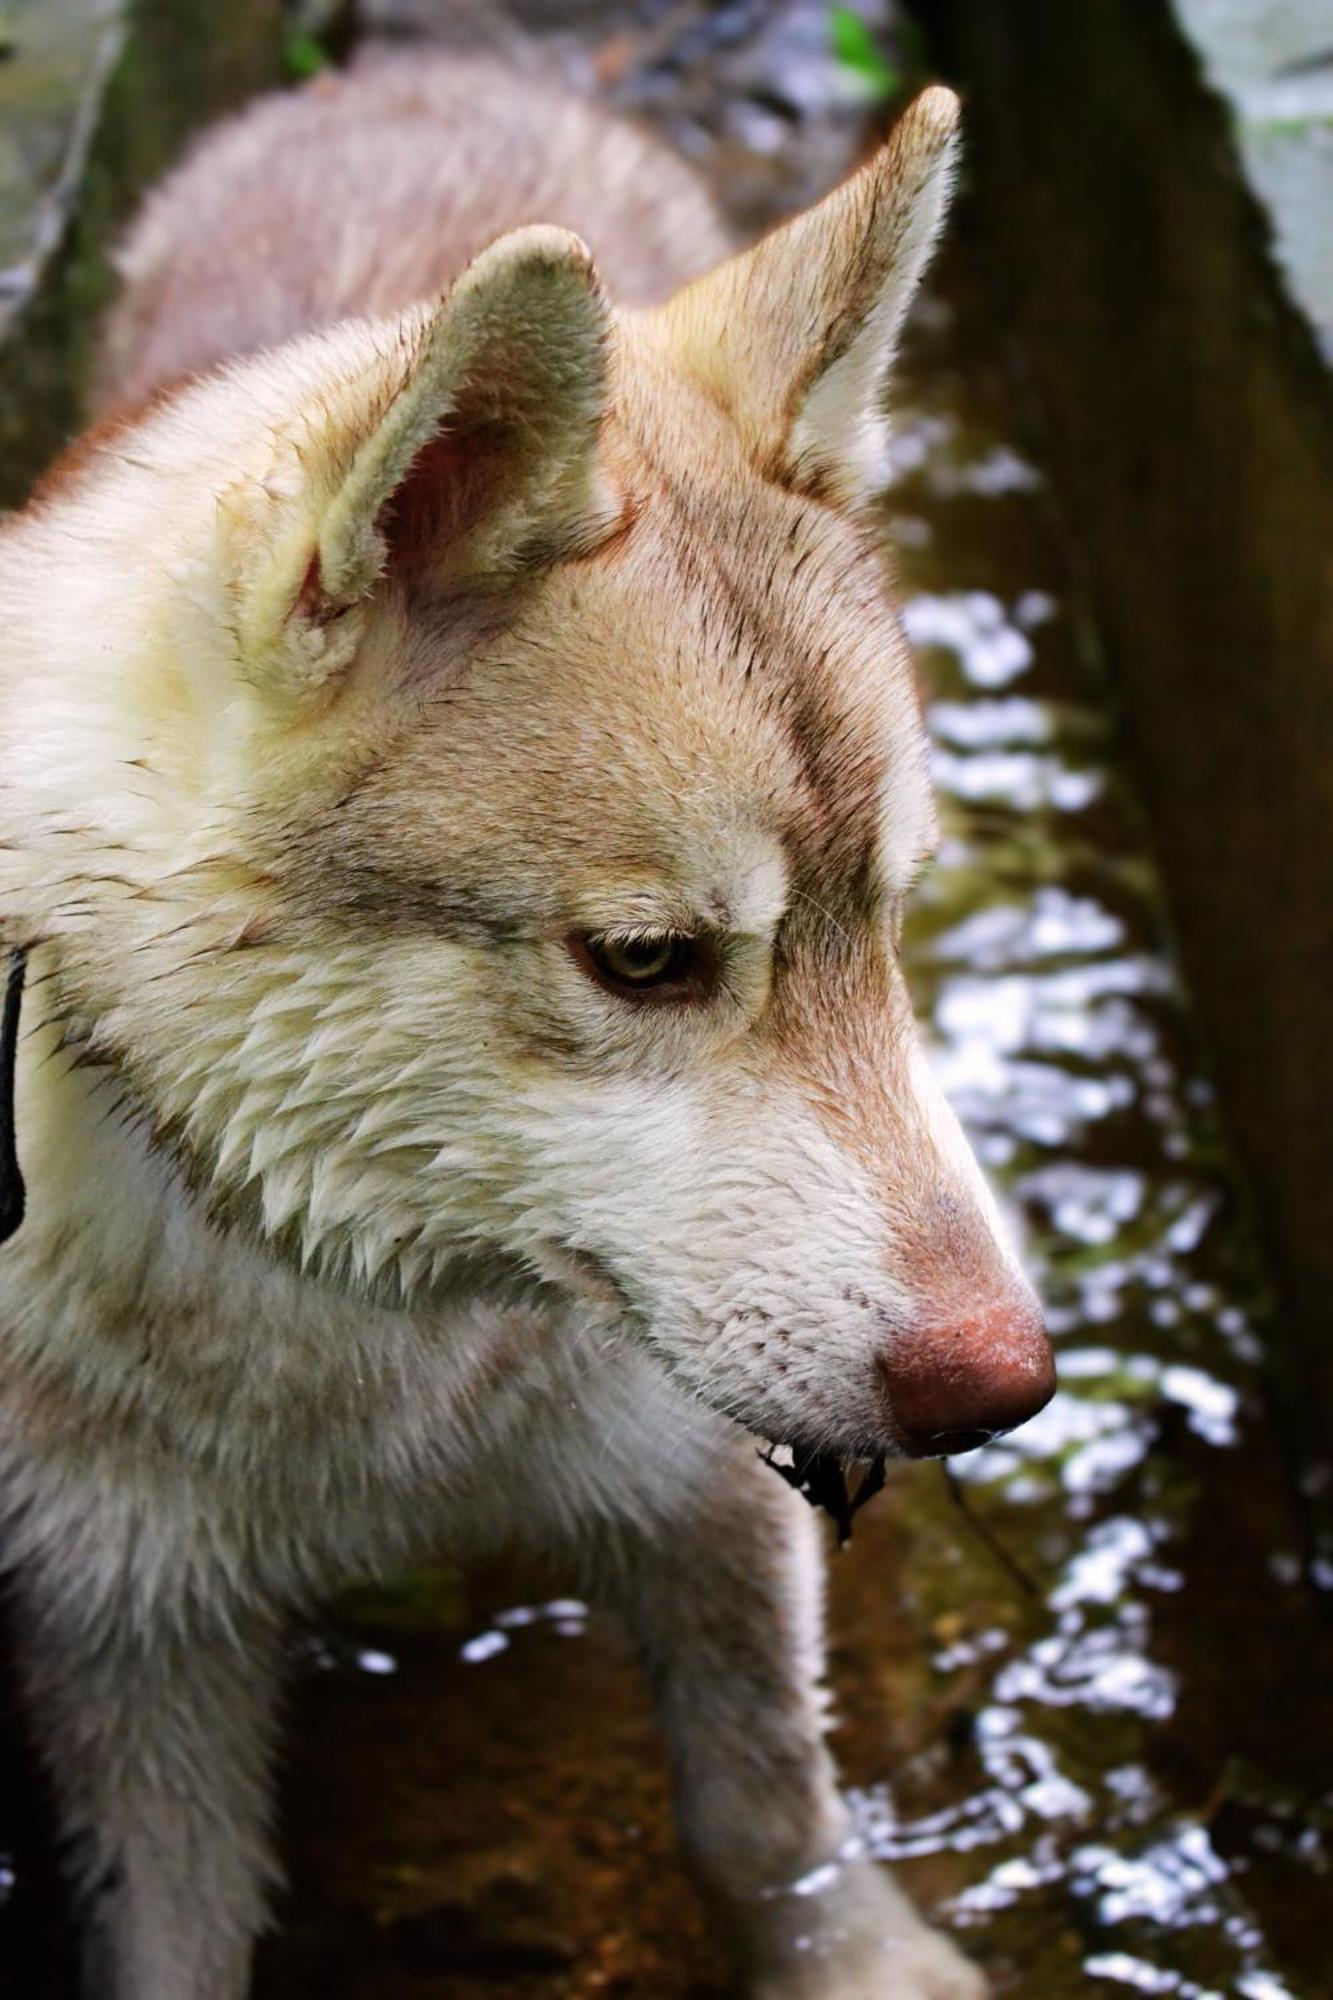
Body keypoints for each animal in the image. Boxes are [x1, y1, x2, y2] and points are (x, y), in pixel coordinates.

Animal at [0, 47, 1048, 2000]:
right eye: (645, 960)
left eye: (885, 917)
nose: (1002, 1383)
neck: (361, 1342)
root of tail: (433, 64)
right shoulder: (124, 1622)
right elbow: (173, 1938)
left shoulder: (699, 1496)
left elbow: (764, 1818)